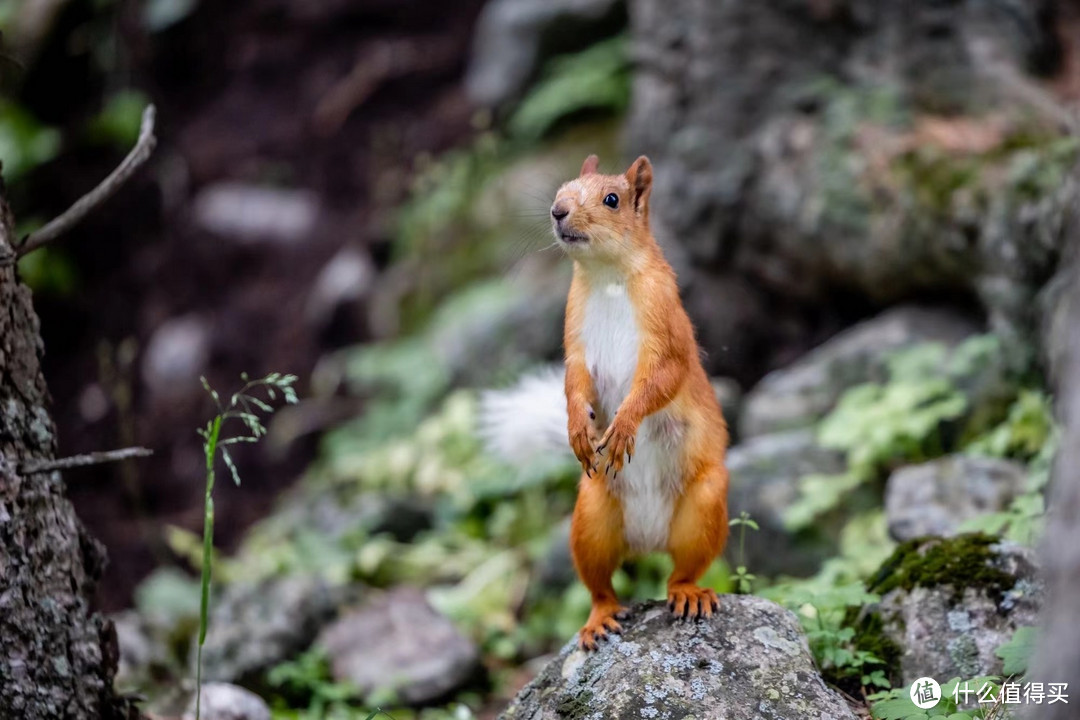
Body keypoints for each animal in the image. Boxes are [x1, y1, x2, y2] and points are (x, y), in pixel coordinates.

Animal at [479, 155, 725, 651]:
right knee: (599, 585)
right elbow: (574, 382)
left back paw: (688, 593)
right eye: (561, 189)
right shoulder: (575, 336)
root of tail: (648, 539)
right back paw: (601, 617)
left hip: (703, 508)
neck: (608, 277)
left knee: (683, 570)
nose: (557, 211)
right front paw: (579, 427)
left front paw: (625, 424)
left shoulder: (667, 329)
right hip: (590, 520)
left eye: (612, 199)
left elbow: (661, 380)